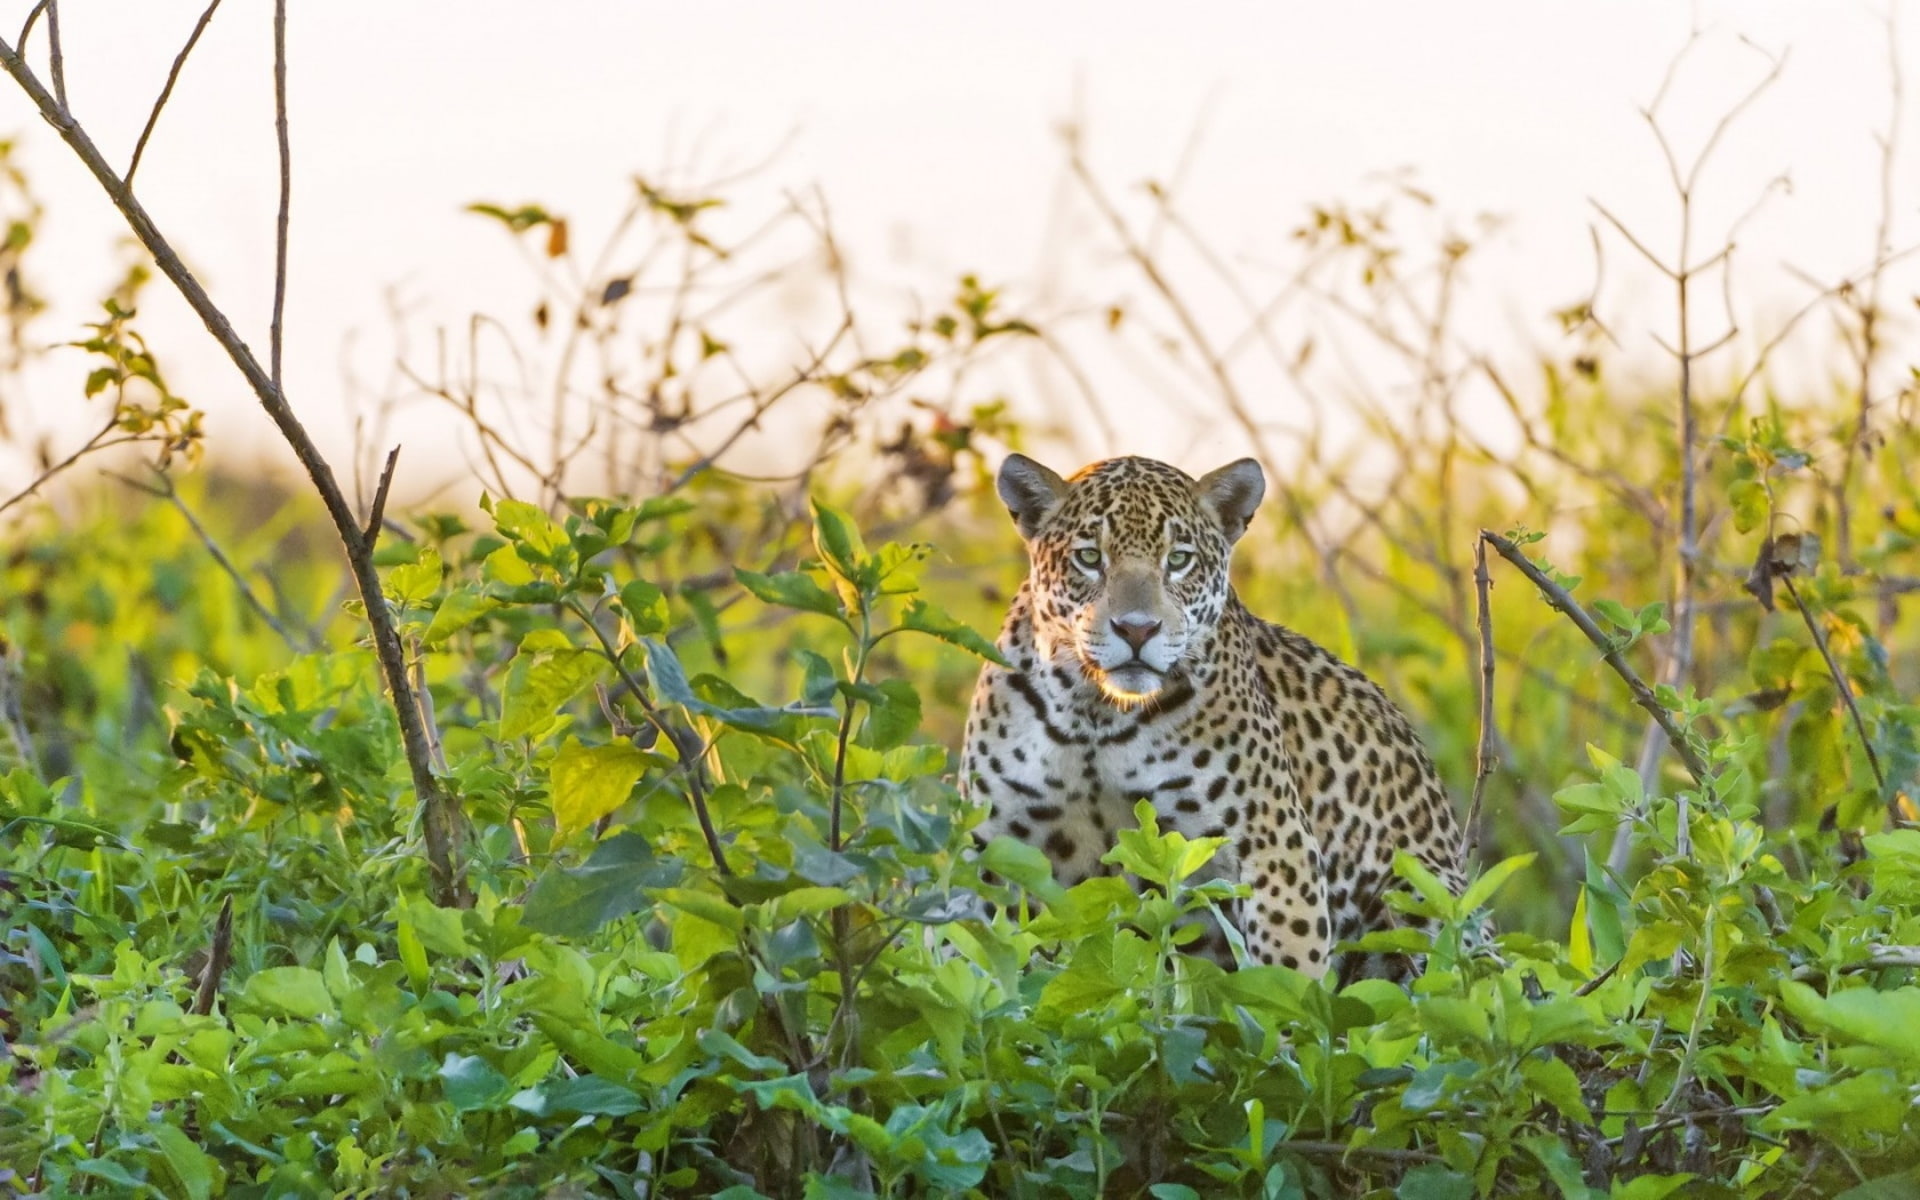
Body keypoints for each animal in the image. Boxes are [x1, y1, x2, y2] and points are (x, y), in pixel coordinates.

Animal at [961, 452, 1468, 981]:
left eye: (1179, 560)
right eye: (1089, 557)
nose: (1137, 629)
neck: (1096, 716)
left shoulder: (1274, 849)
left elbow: (1287, 976)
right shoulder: (994, 848)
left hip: (1420, 898)